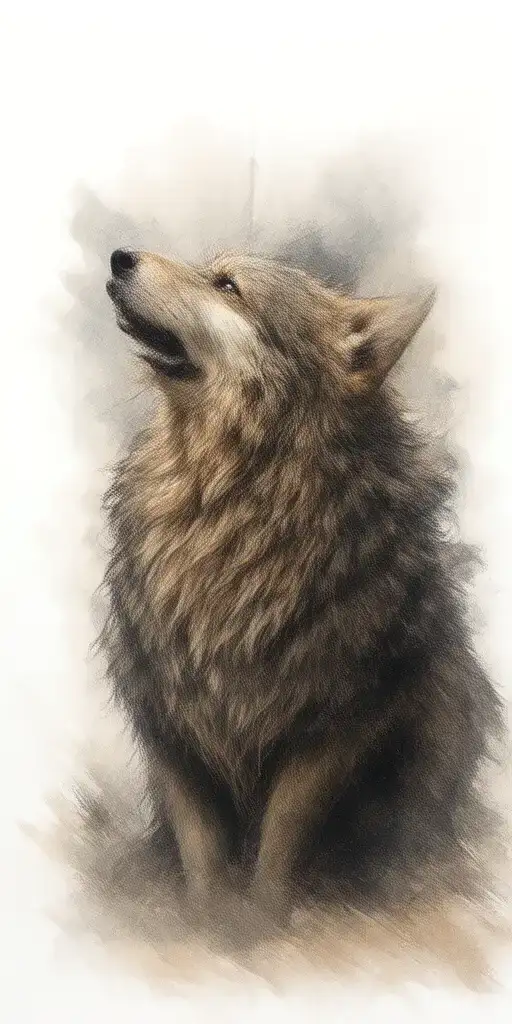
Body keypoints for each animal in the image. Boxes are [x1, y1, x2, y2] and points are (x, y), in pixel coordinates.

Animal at [102, 245, 502, 936]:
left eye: (227, 286)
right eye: (213, 273)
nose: (119, 256)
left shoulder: (335, 730)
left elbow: (280, 841)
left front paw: (264, 926)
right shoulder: (171, 726)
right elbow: (202, 855)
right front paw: (206, 926)